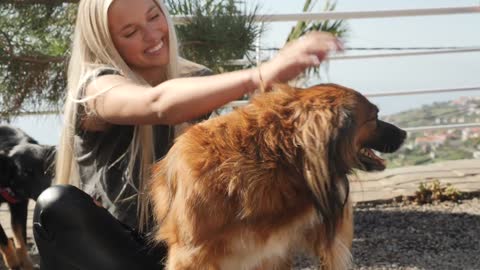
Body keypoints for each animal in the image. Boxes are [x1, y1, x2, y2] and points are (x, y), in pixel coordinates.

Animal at [0, 126, 54, 270]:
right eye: (25, 172)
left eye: (47, 171)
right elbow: (4, 239)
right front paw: (12, 262)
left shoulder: (20, 206)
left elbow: (21, 239)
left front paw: (26, 264)